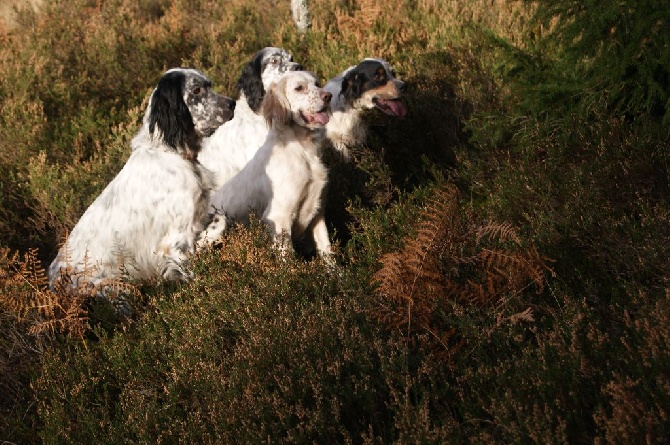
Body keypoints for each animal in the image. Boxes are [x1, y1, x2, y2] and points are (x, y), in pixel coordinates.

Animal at [49, 67, 236, 292]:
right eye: (197, 90)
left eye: (210, 85)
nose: (232, 103)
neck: (170, 151)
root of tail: (53, 280)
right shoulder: (174, 241)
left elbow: (221, 219)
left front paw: (205, 242)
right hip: (116, 288)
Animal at [200, 70, 336, 258]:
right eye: (299, 88)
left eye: (316, 83)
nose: (328, 96)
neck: (303, 148)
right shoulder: (279, 216)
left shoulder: (318, 212)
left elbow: (327, 251)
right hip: (218, 224)